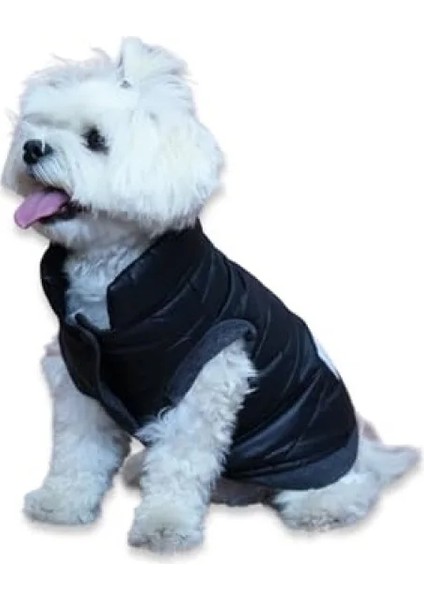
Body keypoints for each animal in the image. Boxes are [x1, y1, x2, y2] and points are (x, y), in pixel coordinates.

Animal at [2, 37, 419, 553]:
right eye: (38, 126)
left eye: (95, 139)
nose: (31, 148)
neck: (116, 276)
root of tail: (361, 450)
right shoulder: (81, 382)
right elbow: (77, 451)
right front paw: (61, 503)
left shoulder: (202, 385)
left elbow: (180, 465)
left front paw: (165, 524)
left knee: (347, 486)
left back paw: (323, 505)